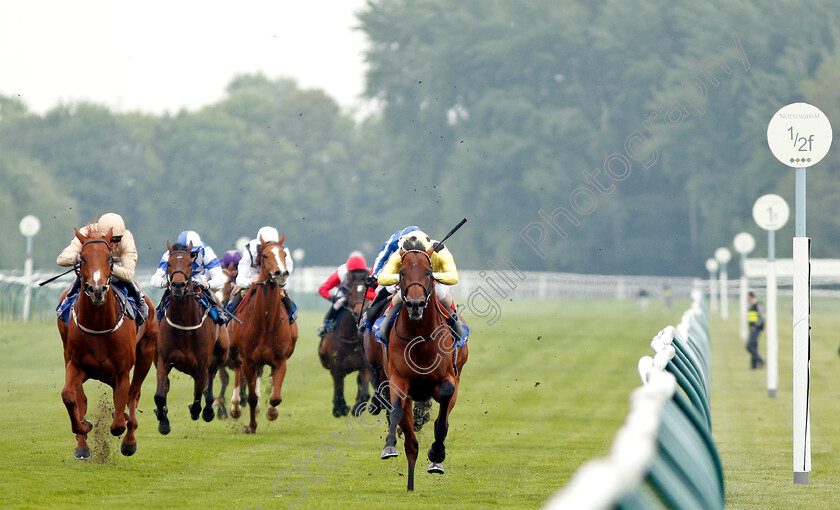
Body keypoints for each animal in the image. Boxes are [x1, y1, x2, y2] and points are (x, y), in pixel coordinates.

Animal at [57, 227, 158, 458]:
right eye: (83, 257)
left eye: (109, 258)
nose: (97, 289)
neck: (99, 325)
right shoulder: (76, 364)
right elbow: (69, 396)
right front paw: (83, 427)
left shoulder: (122, 371)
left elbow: (119, 422)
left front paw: (125, 428)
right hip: (67, 351)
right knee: (80, 397)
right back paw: (82, 445)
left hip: (146, 353)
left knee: (133, 393)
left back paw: (129, 440)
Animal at [154, 241, 230, 432]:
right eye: (169, 263)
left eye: (189, 264)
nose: (177, 285)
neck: (185, 326)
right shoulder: (163, 360)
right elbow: (159, 395)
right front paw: (163, 420)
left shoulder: (202, 365)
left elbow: (197, 399)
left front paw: (198, 410)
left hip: (221, 354)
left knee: (210, 381)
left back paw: (209, 410)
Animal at [228, 234, 296, 430]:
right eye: (265, 255)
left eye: (283, 254)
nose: (281, 273)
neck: (265, 324)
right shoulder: (248, 360)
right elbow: (251, 398)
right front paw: (251, 426)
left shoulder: (280, 360)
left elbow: (276, 397)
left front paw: (272, 412)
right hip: (236, 352)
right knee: (237, 371)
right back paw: (235, 407)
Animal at [320, 270, 372, 418]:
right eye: (350, 293)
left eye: (367, 292)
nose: (357, 313)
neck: (350, 337)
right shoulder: (337, 367)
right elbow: (339, 388)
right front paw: (340, 408)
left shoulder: (364, 366)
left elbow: (364, 392)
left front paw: (357, 407)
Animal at [378, 243, 470, 490]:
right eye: (401, 273)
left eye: (429, 273)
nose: (415, 304)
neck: (419, 338)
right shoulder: (398, 380)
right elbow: (396, 409)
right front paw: (389, 446)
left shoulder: (447, 379)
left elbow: (442, 418)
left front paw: (437, 454)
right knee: (411, 441)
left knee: (443, 419)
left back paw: (436, 461)